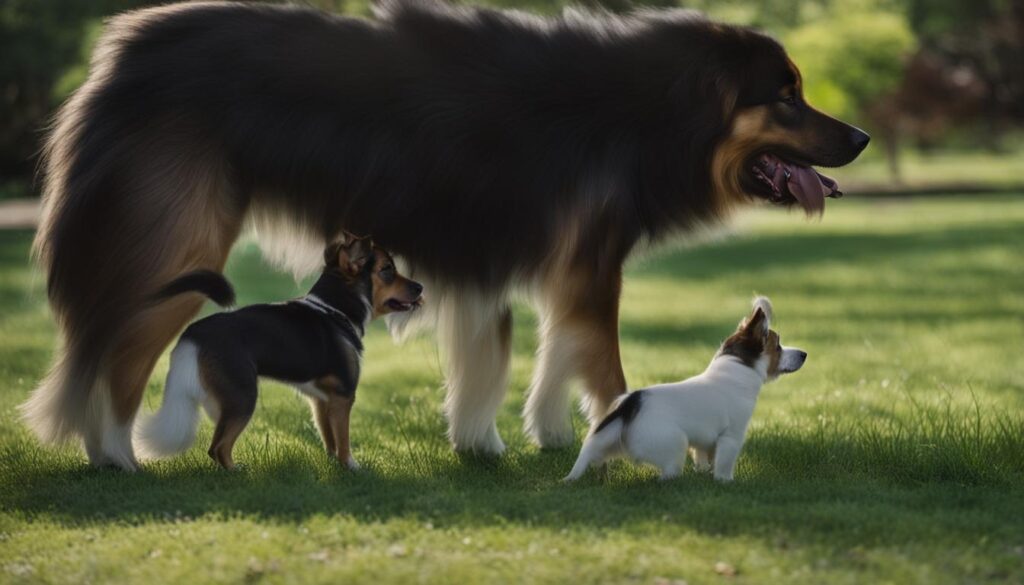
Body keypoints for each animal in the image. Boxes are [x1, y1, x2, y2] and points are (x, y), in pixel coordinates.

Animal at [136, 235, 423, 469]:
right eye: (387, 270)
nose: (420, 287)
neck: (335, 310)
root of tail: (193, 334)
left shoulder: (321, 400)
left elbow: (329, 438)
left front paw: (334, 466)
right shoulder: (344, 395)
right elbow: (344, 440)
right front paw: (351, 467)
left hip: (224, 401)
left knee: (216, 446)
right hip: (242, 397)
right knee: (218, 447)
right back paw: (238, 471)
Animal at [565, 299, 802, 483]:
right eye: (778, 346)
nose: (804, 354)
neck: (737, 366)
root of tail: (630, 403)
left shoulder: (704, 443)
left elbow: (703, 460)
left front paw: (704, 475)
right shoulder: (732, 436)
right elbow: (724, 464)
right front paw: (725, 482)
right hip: (675, 444)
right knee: (668, 475)